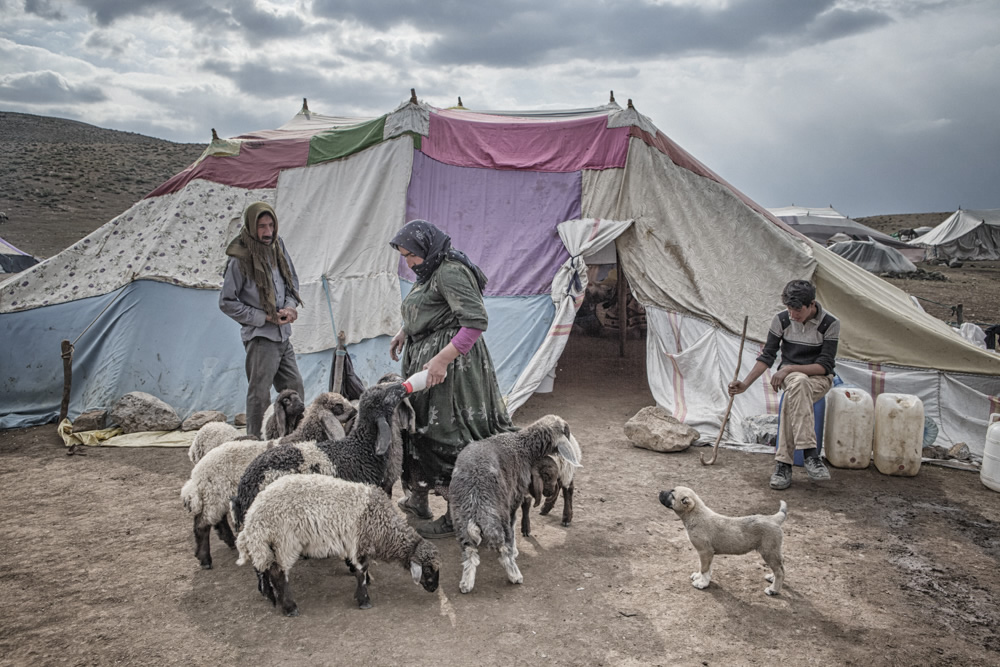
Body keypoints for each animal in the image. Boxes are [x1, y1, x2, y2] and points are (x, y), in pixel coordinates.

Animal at [180, 394, 356, 572]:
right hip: (213, 494)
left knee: (217, 520)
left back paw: (229, 541)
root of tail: (198, 469)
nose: (355, 411)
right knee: (202, 524)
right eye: (338, 405)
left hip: (215, 495)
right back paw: (205, 559)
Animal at [236, 474, 440, 616]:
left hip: (270, 544)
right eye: (428, 570)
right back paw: (289, 607)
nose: (434, 589)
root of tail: (253, 517)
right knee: (279, 573)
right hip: (284, 541)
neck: (383, 527)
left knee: (267, 568)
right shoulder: (359, 543)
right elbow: (362, 571)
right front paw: (364, 600)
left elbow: (360, 570)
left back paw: (272, 596)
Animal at [450, 412, 584, 596]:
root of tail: (475, 502)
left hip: (462, 522)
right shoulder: (514, 497)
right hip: (497, 516)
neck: (522, 446)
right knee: (503, 547)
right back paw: (515, 575)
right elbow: (514, 525)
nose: (573, 443)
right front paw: (515, 550)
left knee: (469, 553)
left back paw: (466, 584)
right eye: (566, 431)